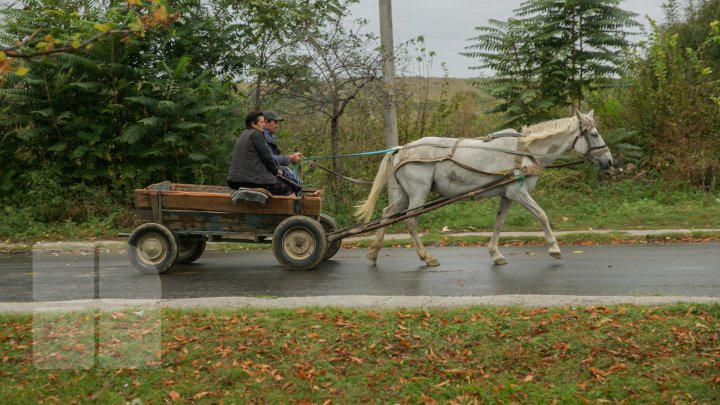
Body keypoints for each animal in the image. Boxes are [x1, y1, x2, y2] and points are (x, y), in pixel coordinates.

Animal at [354, 109, 612, 266]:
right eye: (594, 134)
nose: (609, 162)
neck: (525, 151)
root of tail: (400, 149)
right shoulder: (519, 192)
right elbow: (542, 215)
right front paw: (554, 248)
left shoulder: (507, 195)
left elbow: (499, 223)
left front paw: (495, 254)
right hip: (419, 193)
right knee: (410, 222)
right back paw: (426, 257)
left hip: (406, 194)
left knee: (388, 213)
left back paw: (374, 251)